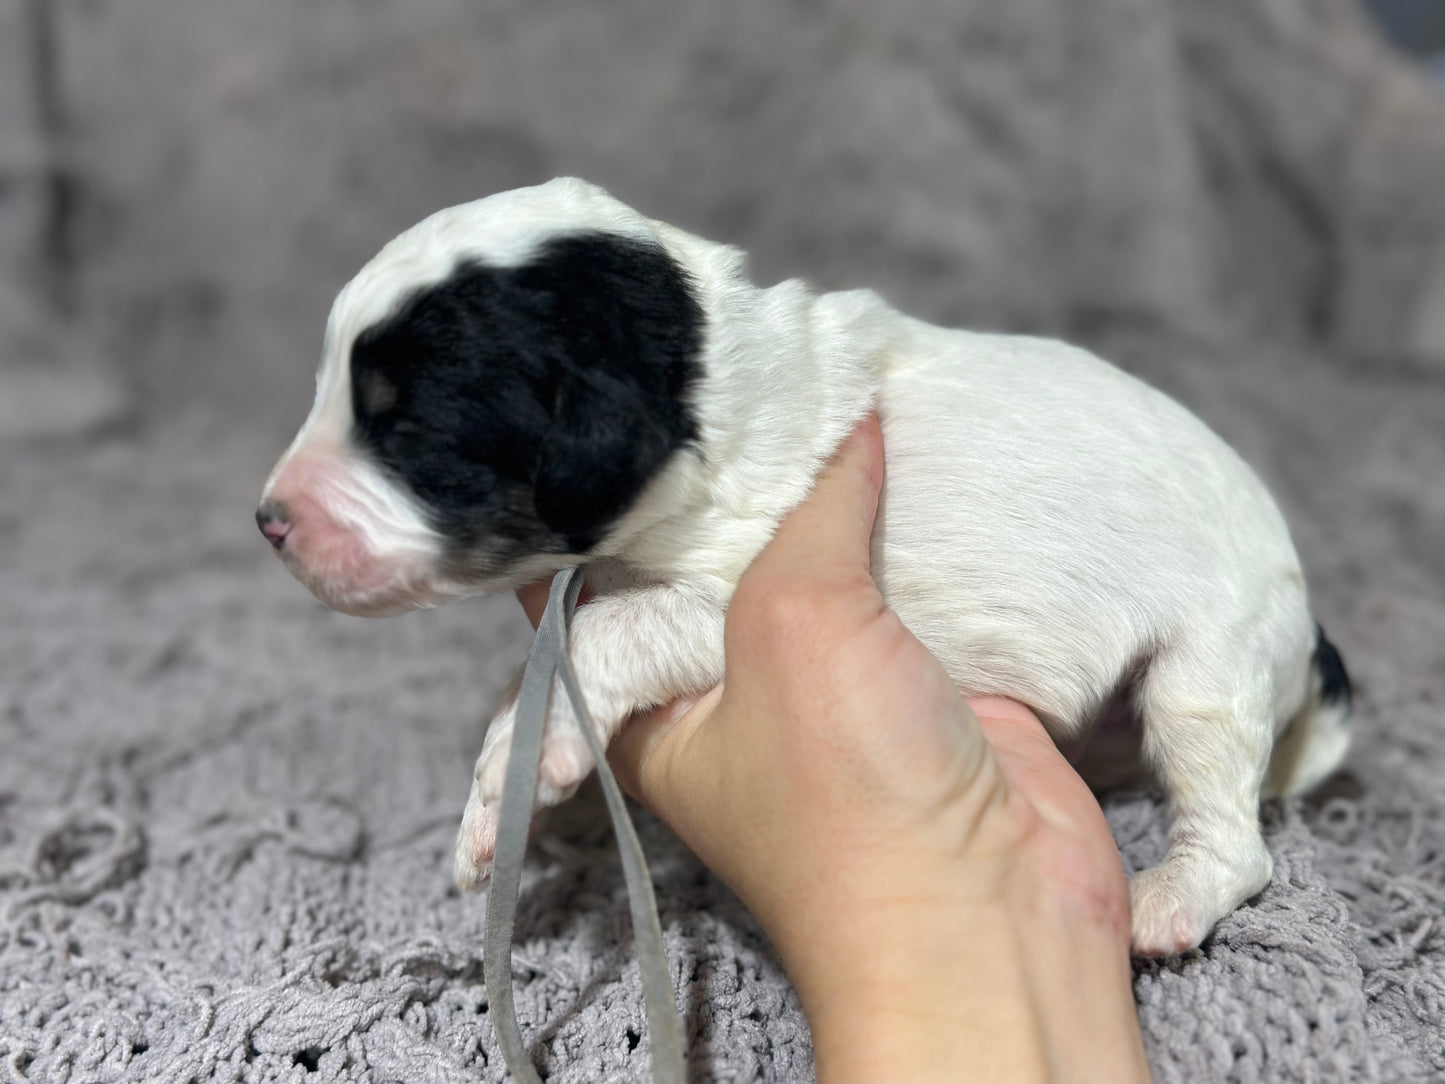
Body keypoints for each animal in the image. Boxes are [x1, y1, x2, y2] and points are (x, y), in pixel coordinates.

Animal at [260, 174, 1352, 953]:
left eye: (405, 430)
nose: (267, 521)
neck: (709, 382)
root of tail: (1304, 629)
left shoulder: (734, 582)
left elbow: (611, 629)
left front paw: (533, 763)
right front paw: (496, 799)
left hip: (1206, 670)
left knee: (1234, 834)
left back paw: (1167, 902)